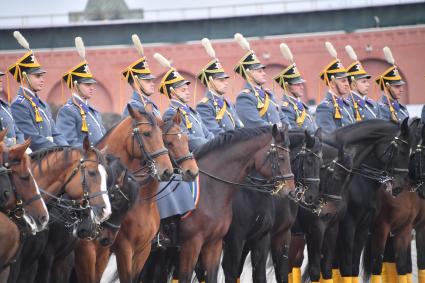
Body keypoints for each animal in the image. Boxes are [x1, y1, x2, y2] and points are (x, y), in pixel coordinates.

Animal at [73, 110, 197, 283]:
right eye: (168, 142)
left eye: (186, 139)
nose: (192, 171)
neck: (144, 202)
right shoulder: (119, 249)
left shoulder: (141, 250)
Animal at [219, 129, 322, 283]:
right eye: (309, 161)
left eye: (321, 162)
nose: (312, 196)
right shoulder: (237, 239)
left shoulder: (278, 235)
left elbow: (280, 272)